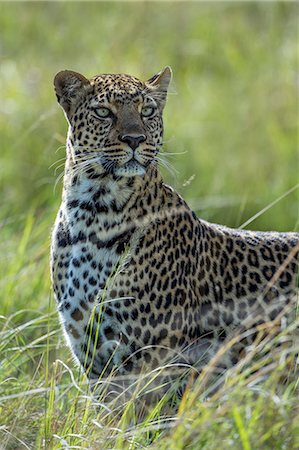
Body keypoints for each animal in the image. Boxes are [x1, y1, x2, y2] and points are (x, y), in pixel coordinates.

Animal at [50, 66, 298, 394]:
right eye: (103, 112)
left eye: (147, 110)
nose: (134, 139)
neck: (92, 210)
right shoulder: (93, 357)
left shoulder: (150, 364)